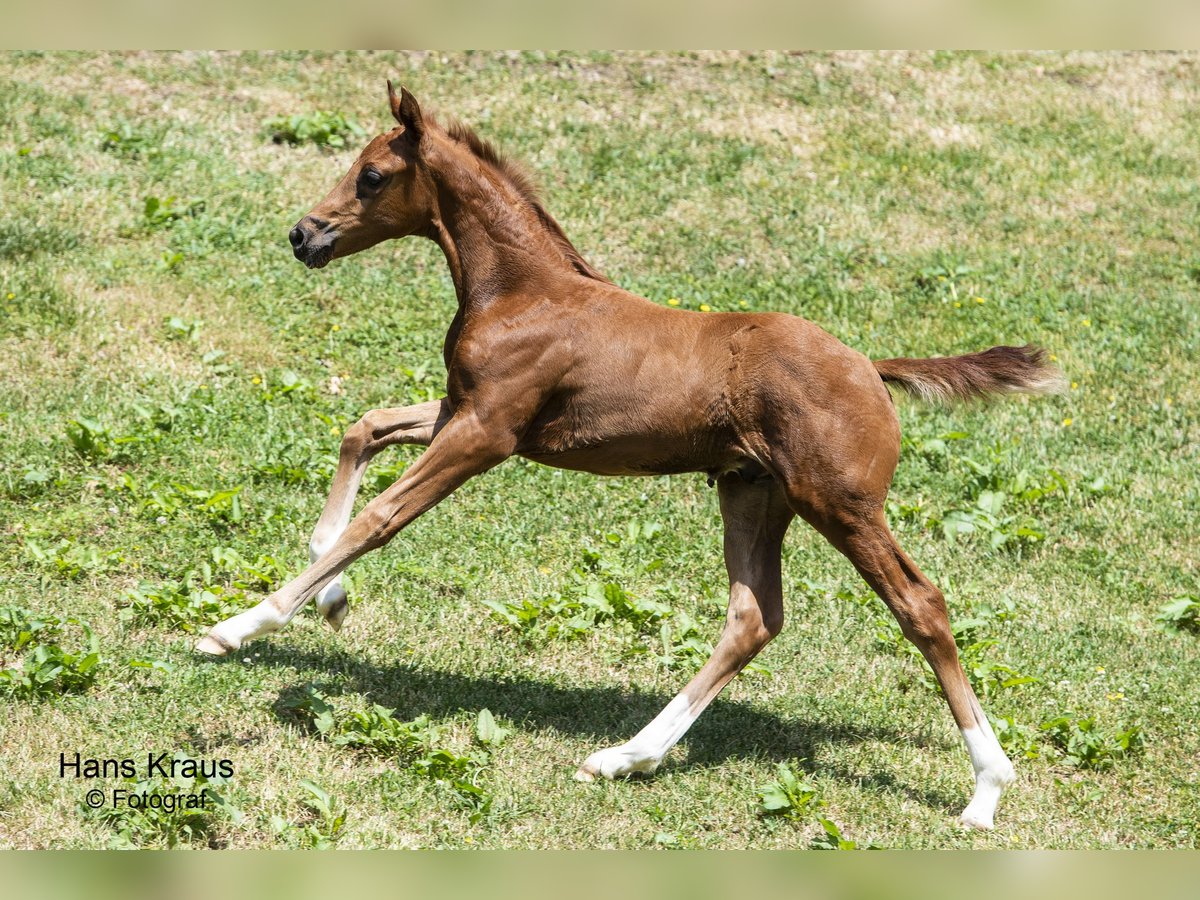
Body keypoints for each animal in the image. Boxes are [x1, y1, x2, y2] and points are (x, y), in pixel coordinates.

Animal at [201, 84, 1065, 830]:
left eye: (373, 174)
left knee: (921, 606)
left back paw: (987, 789)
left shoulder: (487, 433)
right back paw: (625, 757)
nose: (303, 235)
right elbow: (365, 427)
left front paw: (242, 624)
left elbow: (381, 517)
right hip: (752, 492)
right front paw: (330, 594)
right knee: (754, 617)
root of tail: (872, 369)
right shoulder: (462, 411)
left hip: (839, 503)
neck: (523, 289)